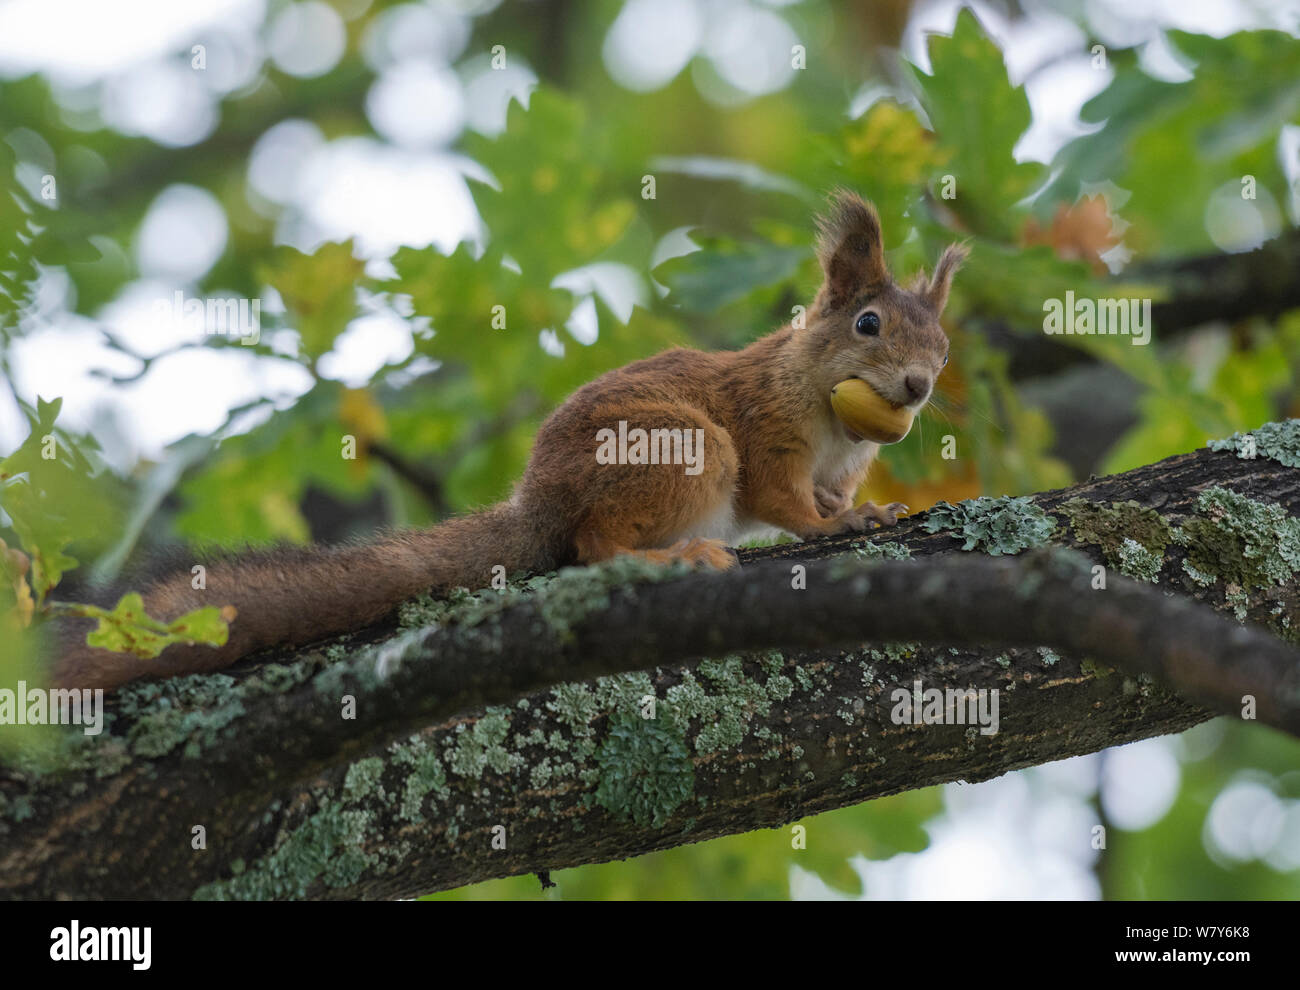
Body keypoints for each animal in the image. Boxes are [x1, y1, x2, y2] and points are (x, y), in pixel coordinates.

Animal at [53, 190, 967, 685]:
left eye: (945, 347)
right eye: (868, 323)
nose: (919, 388)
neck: (833, 417)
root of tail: (540, 502)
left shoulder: (841, 464)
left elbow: (834, 496)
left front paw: (870, 512)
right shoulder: (764, 431)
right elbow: (788, 504)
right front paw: (836, 526)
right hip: (684, 451)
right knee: (594, 545)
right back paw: (671, 557)